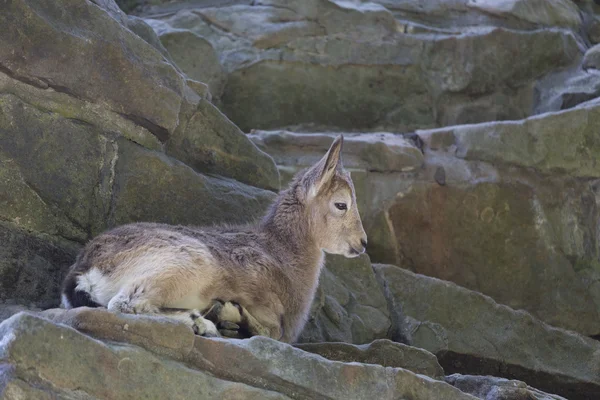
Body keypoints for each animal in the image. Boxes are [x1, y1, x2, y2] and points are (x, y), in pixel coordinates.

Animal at [63, 136, 368, 342]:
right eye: (341, 204)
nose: (363, 242)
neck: (282, 254)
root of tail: (83, 272)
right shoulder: (266, 304)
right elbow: (273, 330)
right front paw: (230, 314)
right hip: (186, 263)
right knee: (124, 303)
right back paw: (202, 323)